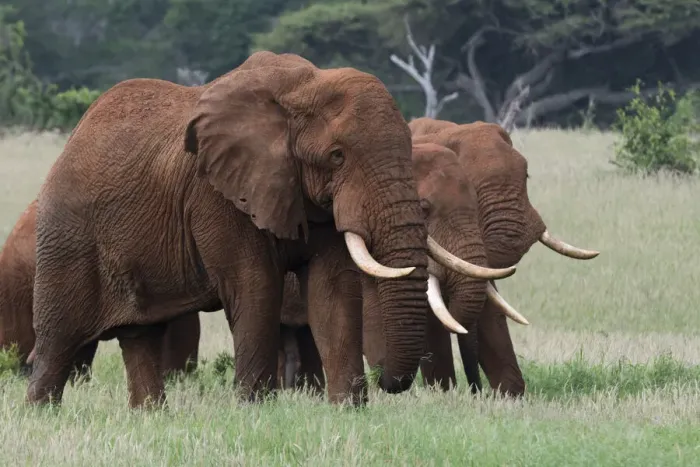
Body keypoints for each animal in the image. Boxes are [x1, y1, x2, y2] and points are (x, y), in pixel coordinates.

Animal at [28, 51, 494, 409]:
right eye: (337, 156)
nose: (386, 380)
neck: (303, 87)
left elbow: (332, 290)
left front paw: (350, 409)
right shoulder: (217, 195)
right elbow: (254, 286)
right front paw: (255, 407)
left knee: (141, 337)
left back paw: (151, 416)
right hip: (66, 235)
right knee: (57, 342)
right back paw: (42, 414)